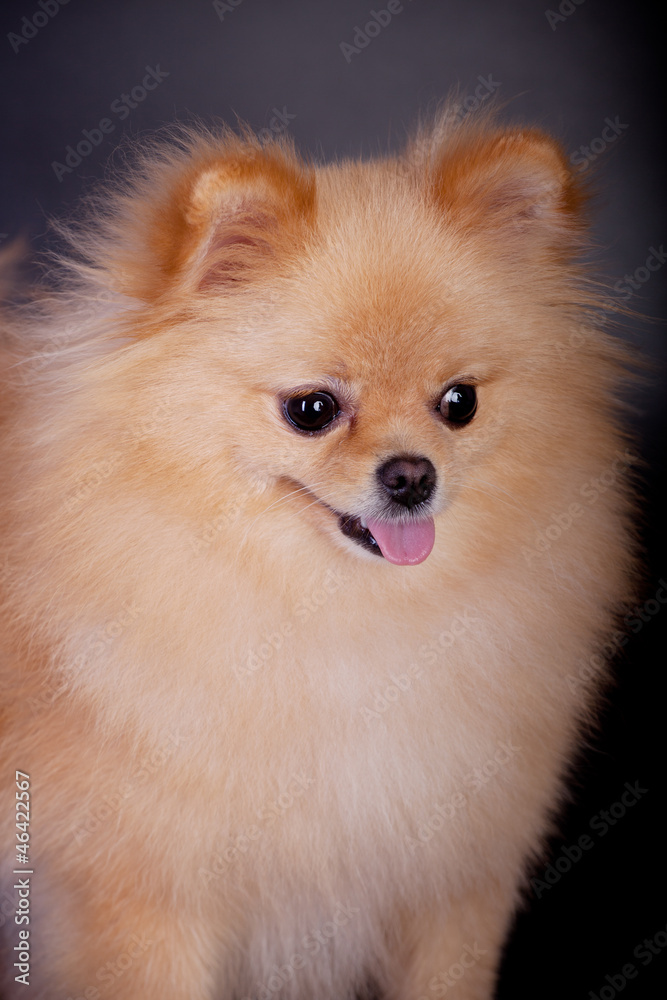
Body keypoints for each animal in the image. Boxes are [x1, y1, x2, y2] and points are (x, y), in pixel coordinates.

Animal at [0, 105, 636, 996]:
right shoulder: (143, 900)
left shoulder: (456, 879)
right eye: (311, 409)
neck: (338, 622)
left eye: (459, 403)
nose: (410, 475)